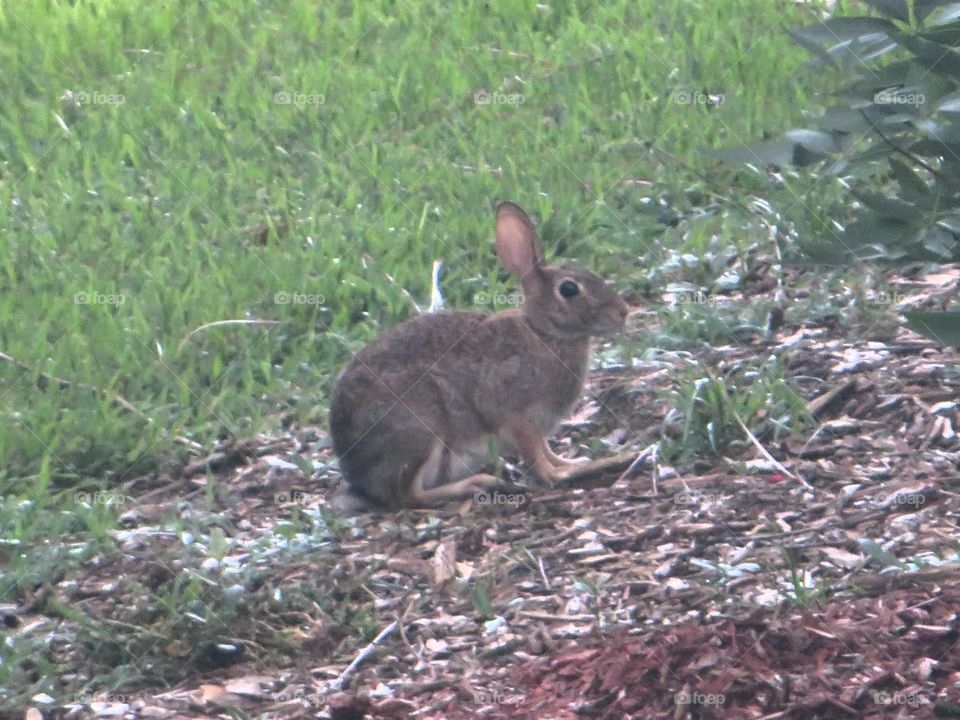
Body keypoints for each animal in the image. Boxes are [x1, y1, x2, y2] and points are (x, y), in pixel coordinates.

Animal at [330, 200, 632, 510]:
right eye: (569, 289)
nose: (623, 312)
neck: (543, 334)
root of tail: (357, 473)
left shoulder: (537, 427)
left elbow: (546, 450)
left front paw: (571, 462)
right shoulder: (516, 416)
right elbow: (535, 456)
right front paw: (560, 474)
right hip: (421, 429)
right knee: (408, 495)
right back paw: (476, 483)